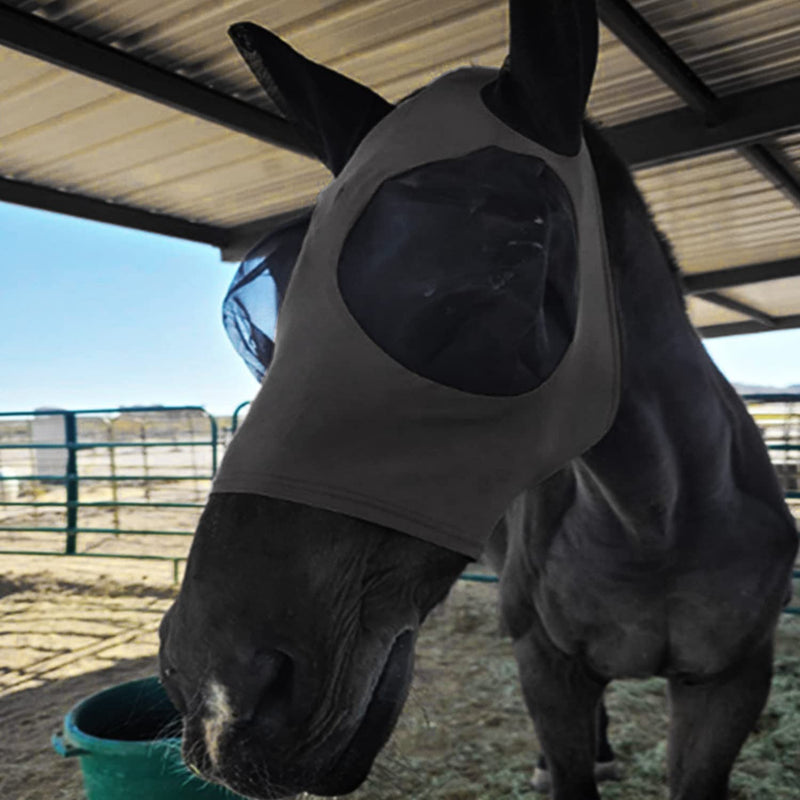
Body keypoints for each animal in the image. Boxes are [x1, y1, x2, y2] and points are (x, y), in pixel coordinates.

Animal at [159, 3, 798, 799]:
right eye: (267, 330)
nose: (216, 692)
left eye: (505, 263)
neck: (657, 522)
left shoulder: (730, 685)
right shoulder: (547, 670)